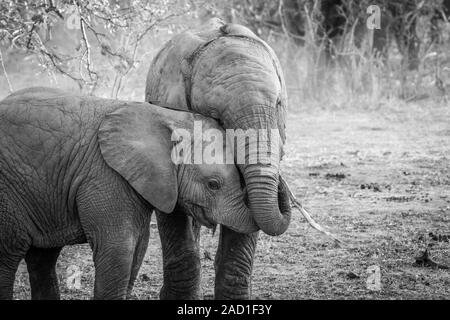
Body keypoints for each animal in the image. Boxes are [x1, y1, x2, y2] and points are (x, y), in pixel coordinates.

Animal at [0, 87, 256, 300]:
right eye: (213, 184)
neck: (171, 117)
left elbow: (138, 248)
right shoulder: (106, 175)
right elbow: (119, 249)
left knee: (42, 258)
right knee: (9, 255)